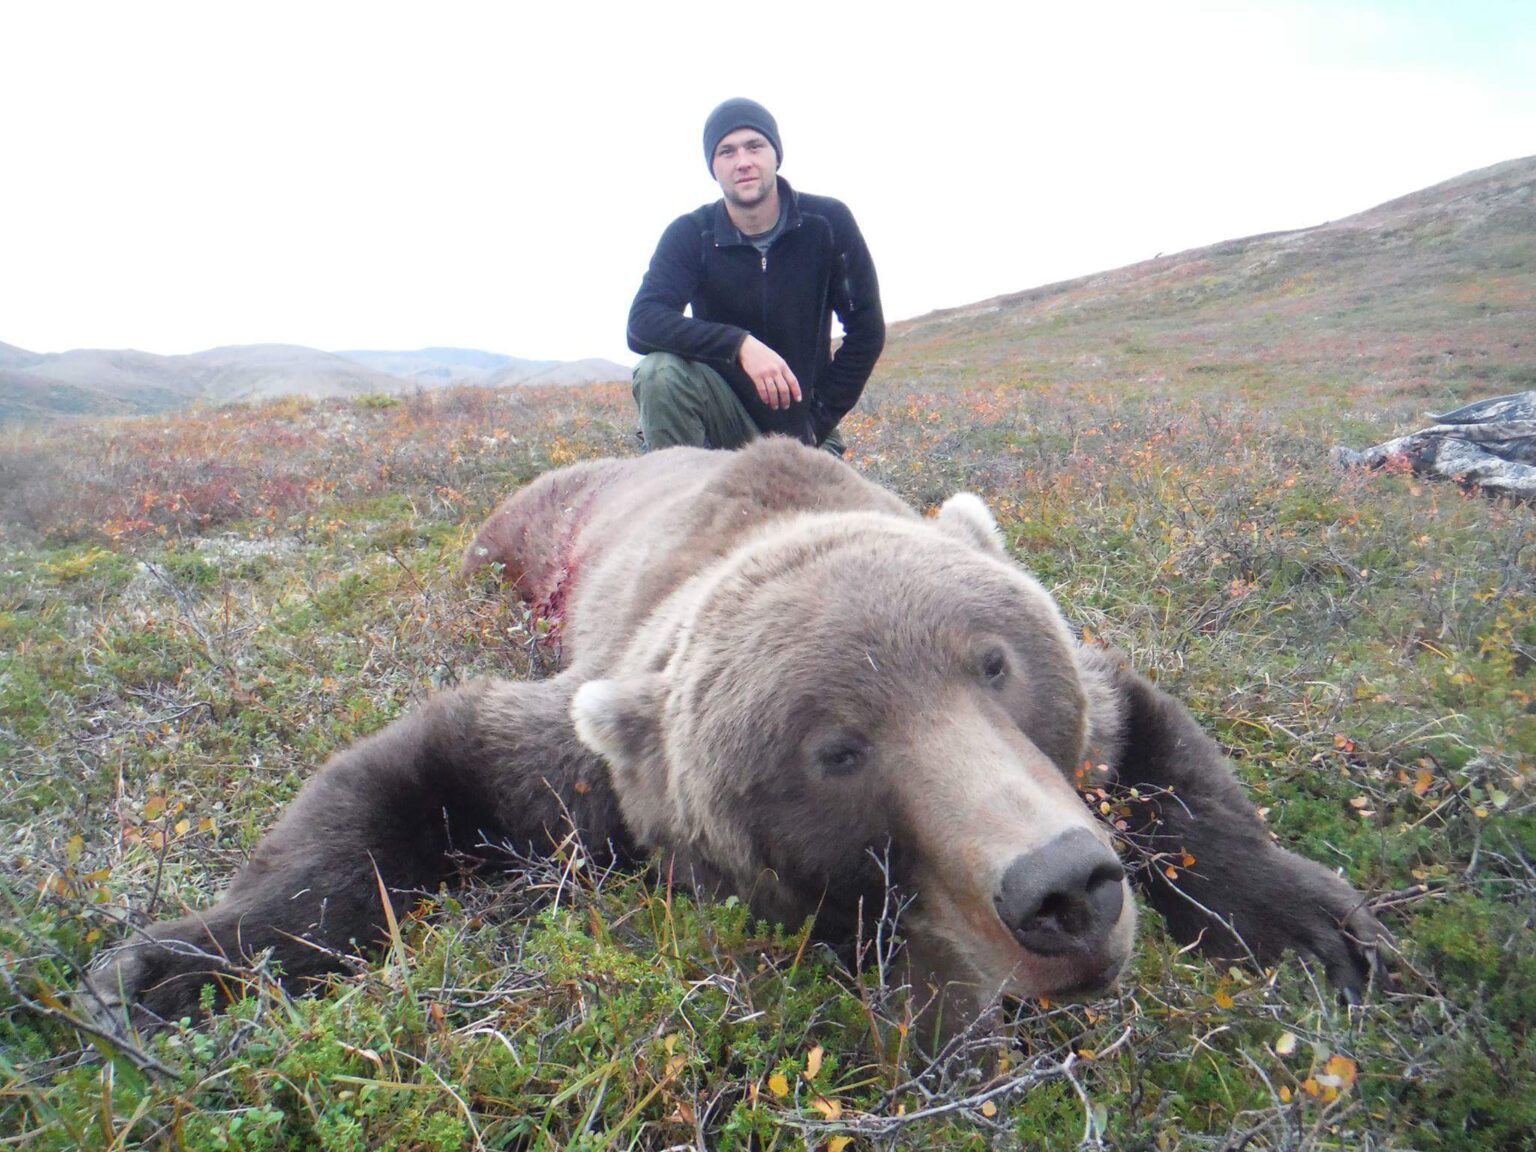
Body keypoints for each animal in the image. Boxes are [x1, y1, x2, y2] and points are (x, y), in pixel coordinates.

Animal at [82, 438, 1386, 1041]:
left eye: (997, 664)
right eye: (834, 750)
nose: (1059, 887)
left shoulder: (1090, 713)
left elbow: (1161, 751)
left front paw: (1322, 927)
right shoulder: (595, 759)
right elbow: (414, 771)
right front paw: (168, 963)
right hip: (503, 547)